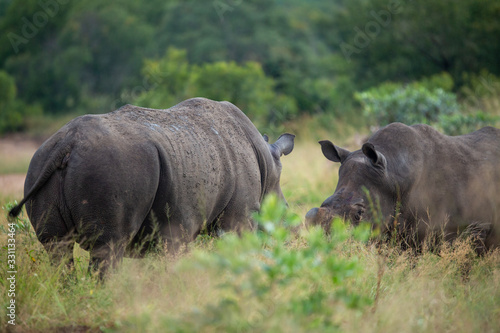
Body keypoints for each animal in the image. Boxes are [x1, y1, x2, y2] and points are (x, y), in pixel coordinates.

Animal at [9, 98, 294, 272]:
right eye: (283, 210)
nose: (289, 236)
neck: (268, 166)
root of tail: (67, 143)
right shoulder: (238, 219)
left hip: (39, 162)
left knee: (56, 248)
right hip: (112, 168)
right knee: (107, 248)